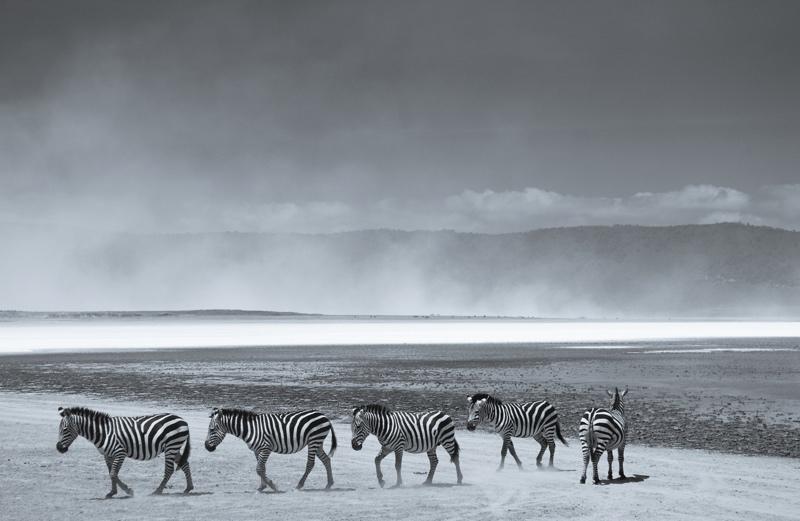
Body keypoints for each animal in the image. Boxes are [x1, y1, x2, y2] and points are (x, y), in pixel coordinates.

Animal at [55, 406, 193, 498]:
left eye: (65, 429)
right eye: (59, 429)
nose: (59, 448)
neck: (103, 432)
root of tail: (183, 420)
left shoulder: (120, 453)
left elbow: (113, 474)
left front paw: (128, 490)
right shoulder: (107, 455)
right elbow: (111, 473)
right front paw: (112, 492)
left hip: (171, 446)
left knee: (169, 469)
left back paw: (157, 491)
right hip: (173, 447)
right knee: (185, 463)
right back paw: (188, 488)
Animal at [204, 407, 337, 491]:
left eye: (211, 430)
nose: (206, 447)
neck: (250, 429)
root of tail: (323, 415)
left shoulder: (266, 448)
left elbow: (259, 469)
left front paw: (273, 486)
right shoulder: (257, 450)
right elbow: (262, 468)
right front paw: (262, 486)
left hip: (314, 440)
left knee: (310, 463)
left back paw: (300, 484)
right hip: (317, 442)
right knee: (326, 459)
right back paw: (329, 484)